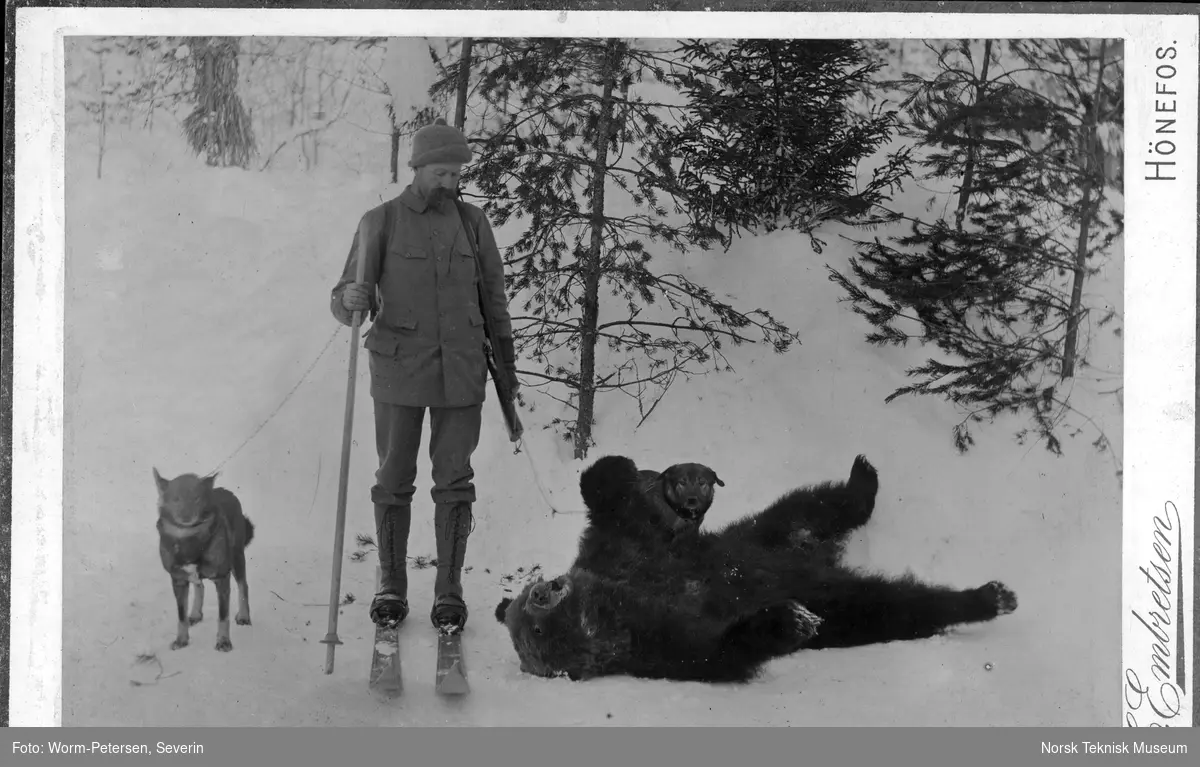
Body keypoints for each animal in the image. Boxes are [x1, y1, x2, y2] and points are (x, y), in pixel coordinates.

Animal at [156, 470, 254, 652]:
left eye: (197, 498)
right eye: (175, 499)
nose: (186, 516)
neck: (189, 540)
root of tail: (225, 491)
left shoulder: (222, 579)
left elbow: (223, 616)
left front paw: (223, 641)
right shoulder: (178, 580)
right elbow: (181, 615)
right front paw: (182, 640)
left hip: (237, 558)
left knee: (243, 586)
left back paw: (244, 616)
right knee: (199, 586)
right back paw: (195, 614)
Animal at [492, 453, 1017, 681]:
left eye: (526, 616)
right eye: (535, 634)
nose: (539, 592)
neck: (614, 602)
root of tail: (818, 559)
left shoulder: (626, 552)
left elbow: (609, 500)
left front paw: (629, 470)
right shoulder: (660, 643)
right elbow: (722, 650)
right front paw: (787, 622)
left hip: (763, 536)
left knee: (811, 506)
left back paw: (862, 477)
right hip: (830, 595)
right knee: (891, 605)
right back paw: (986, 597)